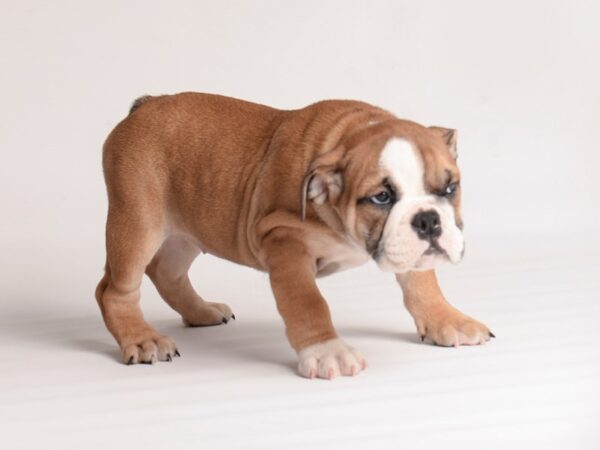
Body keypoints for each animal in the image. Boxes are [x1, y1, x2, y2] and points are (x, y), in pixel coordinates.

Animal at [95, 93, 492, 378]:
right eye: (381, 197)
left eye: (450, 188)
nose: (428, 221)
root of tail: (145, 104)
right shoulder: (284, 242)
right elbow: (307, 302)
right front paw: (327, 351)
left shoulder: (408, 249)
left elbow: (422, 284)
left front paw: (447, 321)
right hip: (138, 222)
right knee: (115, 289)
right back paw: (141, 338)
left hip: (188, 230)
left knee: (167, 272)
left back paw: (201, 311)